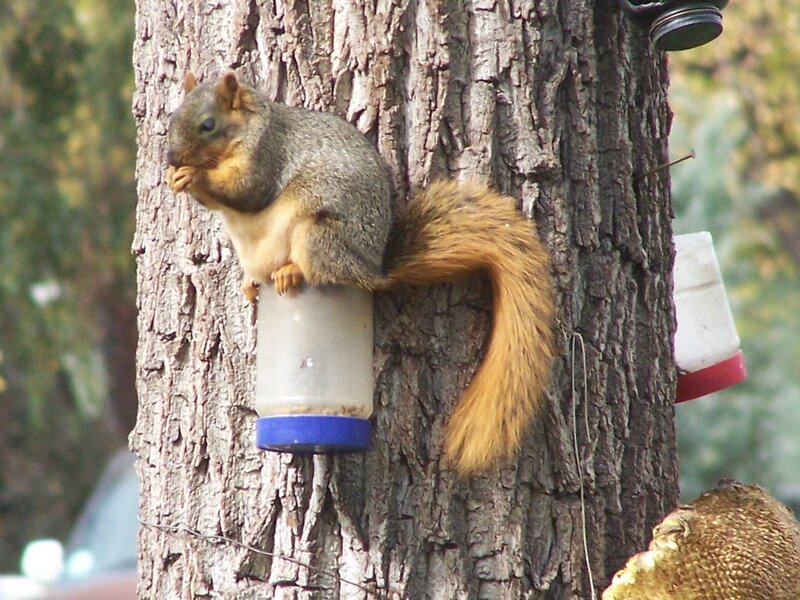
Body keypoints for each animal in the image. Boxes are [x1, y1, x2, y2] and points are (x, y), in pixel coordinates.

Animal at [166, 71, 555, 475]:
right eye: (171, 117)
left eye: (208, 125)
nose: (170, 157)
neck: (249, 127)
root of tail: (372, 269)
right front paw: (177, 178)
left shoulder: (266, 154)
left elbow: (248, 190)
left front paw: (196, 177)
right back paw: (251, 283)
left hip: (317, 235)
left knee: (321, 270)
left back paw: (291, 271)